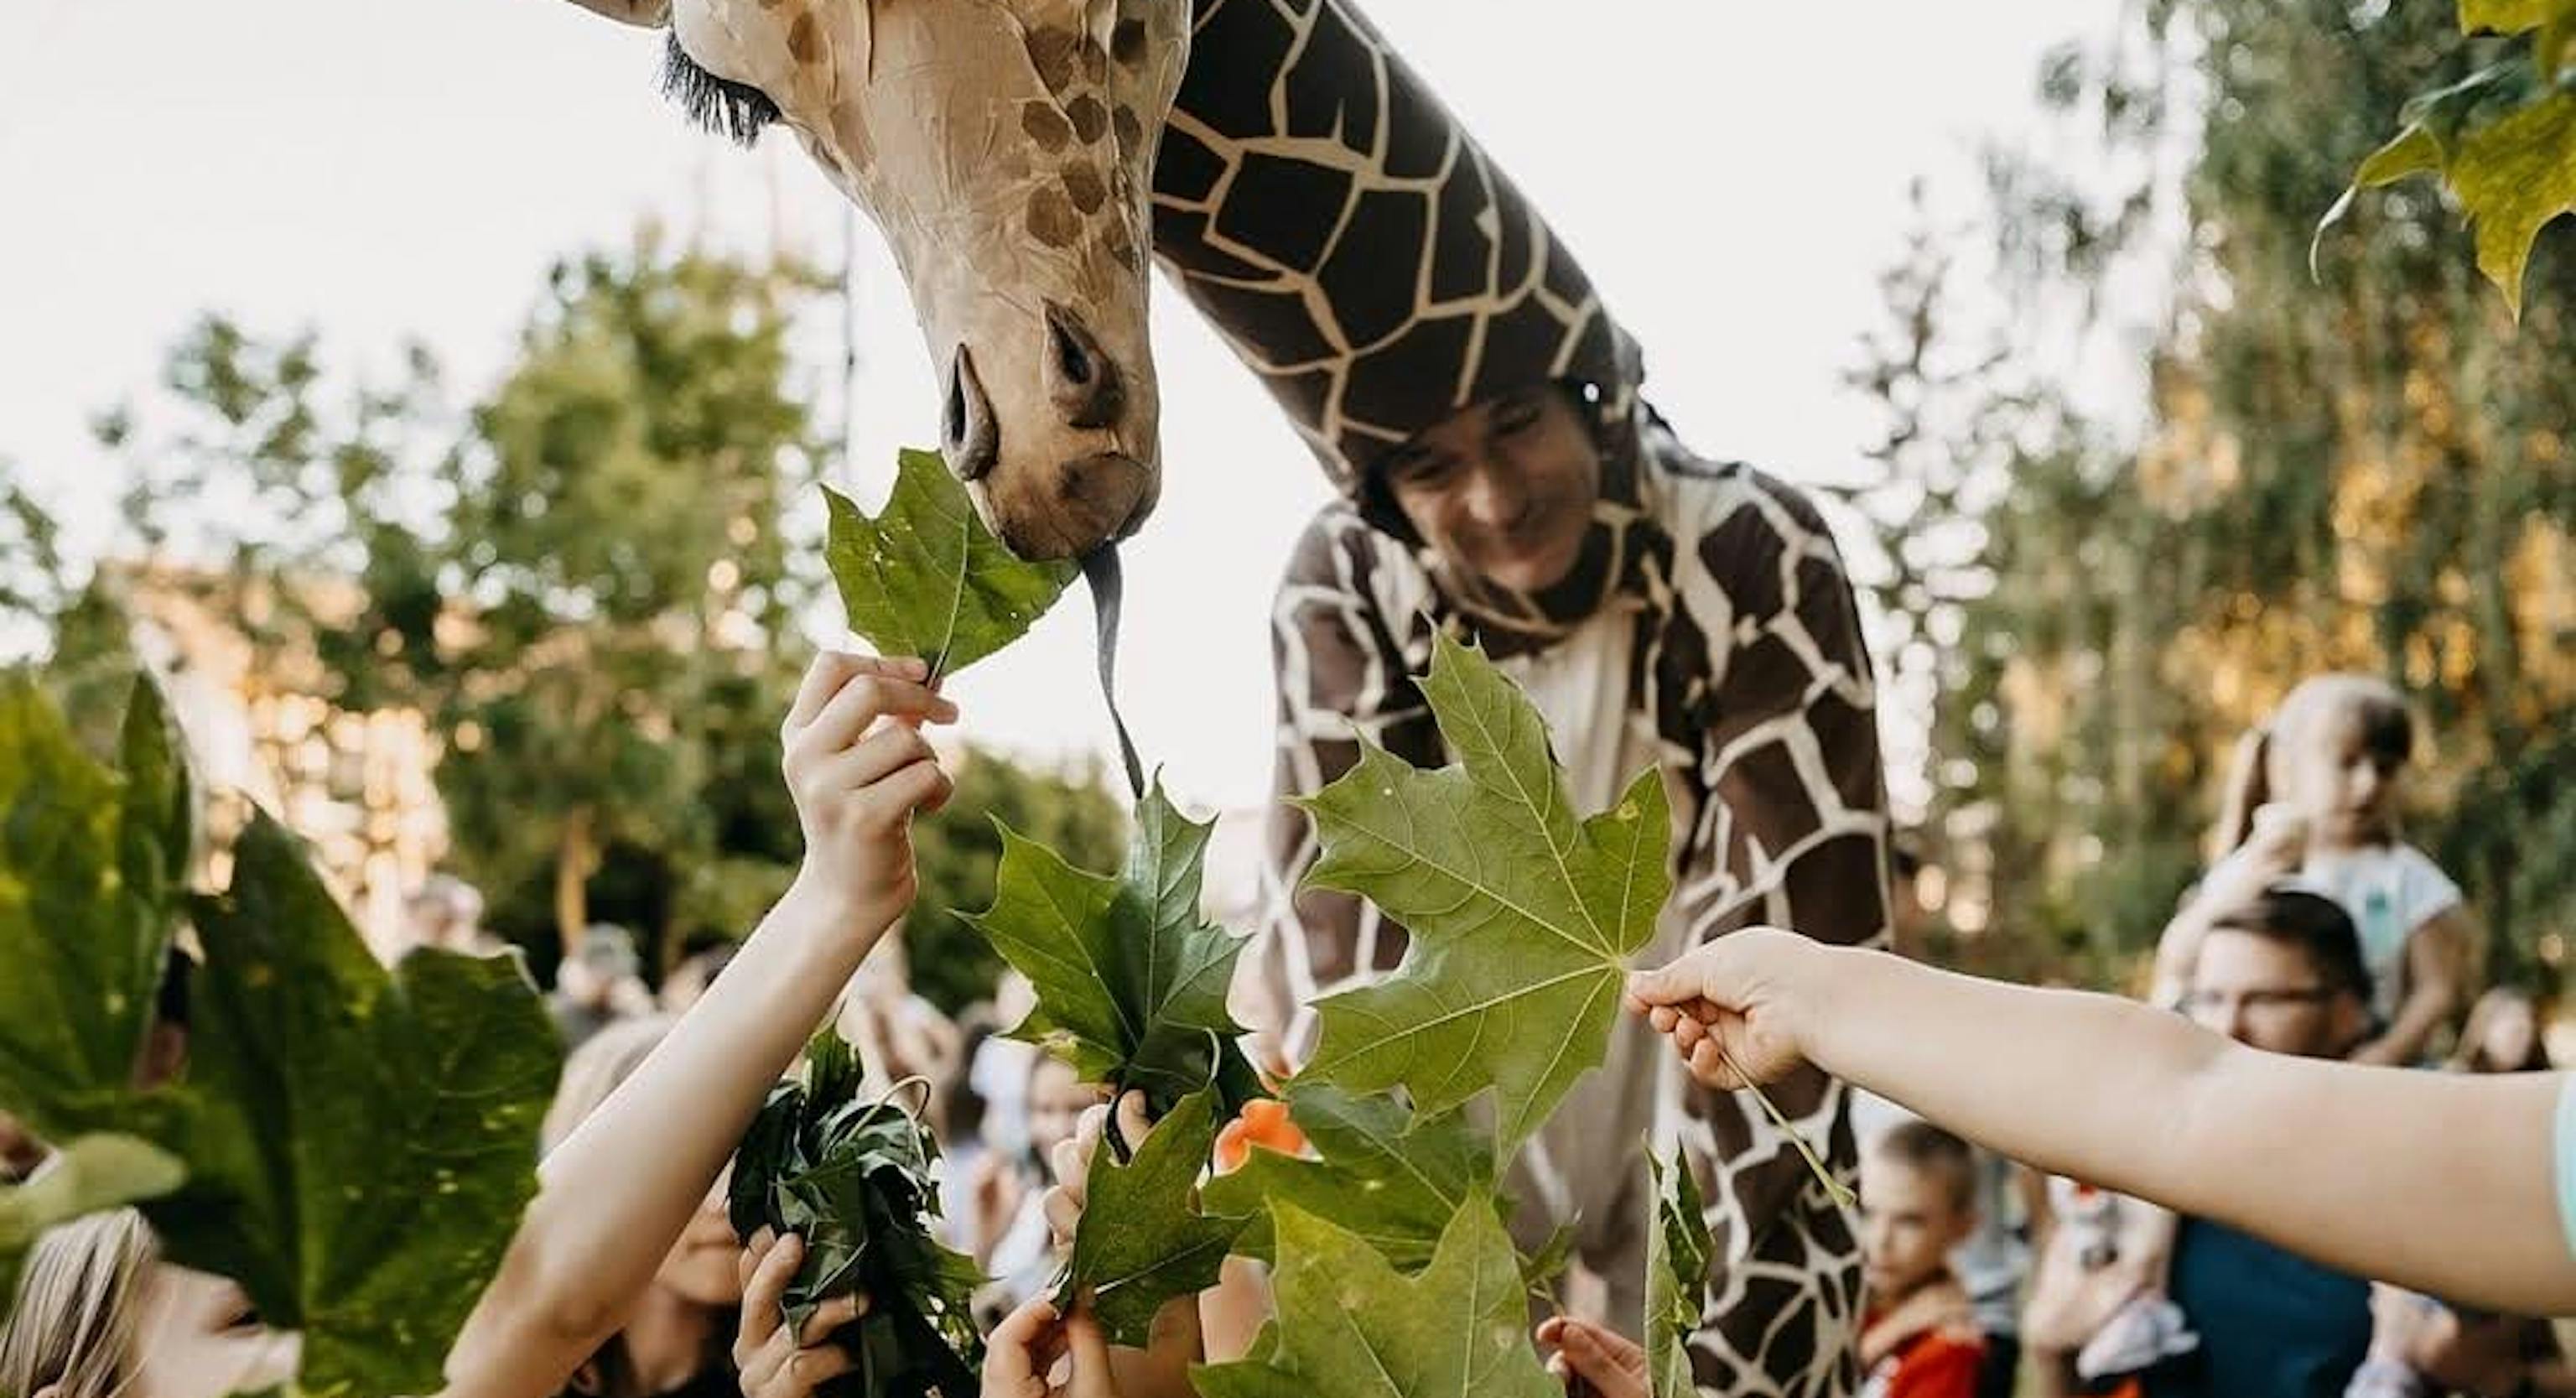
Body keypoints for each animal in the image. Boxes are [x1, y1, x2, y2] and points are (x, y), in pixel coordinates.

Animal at [541, 1, 1883, 1389]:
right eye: (742, 96)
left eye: (1124, 18)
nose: (1039, 462)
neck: (1549, 599)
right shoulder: (1318, 645)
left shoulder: (1795, 599)